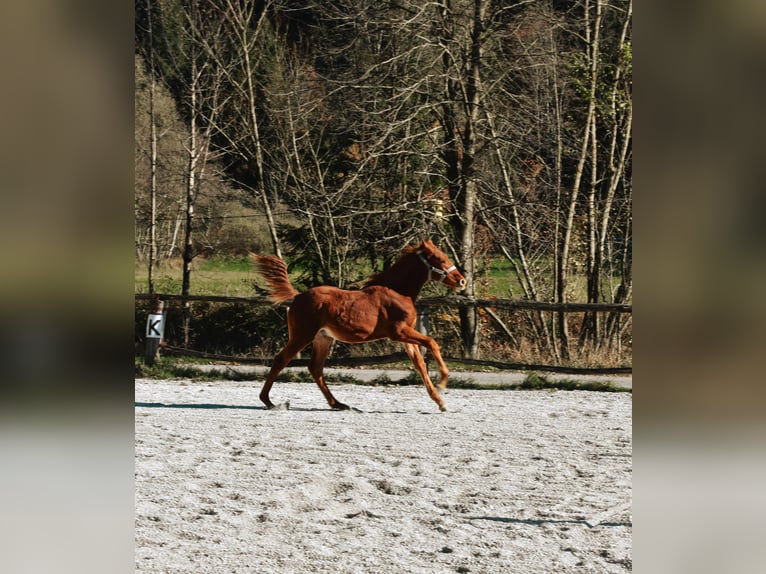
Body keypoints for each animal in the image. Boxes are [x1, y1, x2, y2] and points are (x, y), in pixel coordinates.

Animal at [254, 241, 468, 412]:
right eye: (440, 258)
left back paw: (338, 404)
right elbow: (432, 343)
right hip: (302, 335)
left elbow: (420, 364)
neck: (398, 292)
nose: (462, 281)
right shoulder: (399, 332)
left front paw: (440, 402)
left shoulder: (406, 337)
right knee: (281, 360)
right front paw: (443, 383)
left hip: (323, 338)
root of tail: (298, 296)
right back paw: (269, 401)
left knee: (315, 368)